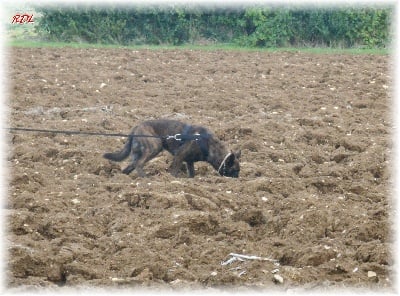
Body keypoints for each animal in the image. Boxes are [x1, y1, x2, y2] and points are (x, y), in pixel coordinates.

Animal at [103, 118, 241, 178]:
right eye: (235, 170)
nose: (238, 179)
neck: (210, 145)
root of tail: (136, 127)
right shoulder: (179, 156)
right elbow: (174, 171)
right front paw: (172, 179)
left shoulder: (189, 161)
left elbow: (192, 173)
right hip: (155, 147)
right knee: (138, 164)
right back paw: (145, 178)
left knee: (131, 165)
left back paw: (123, 178)